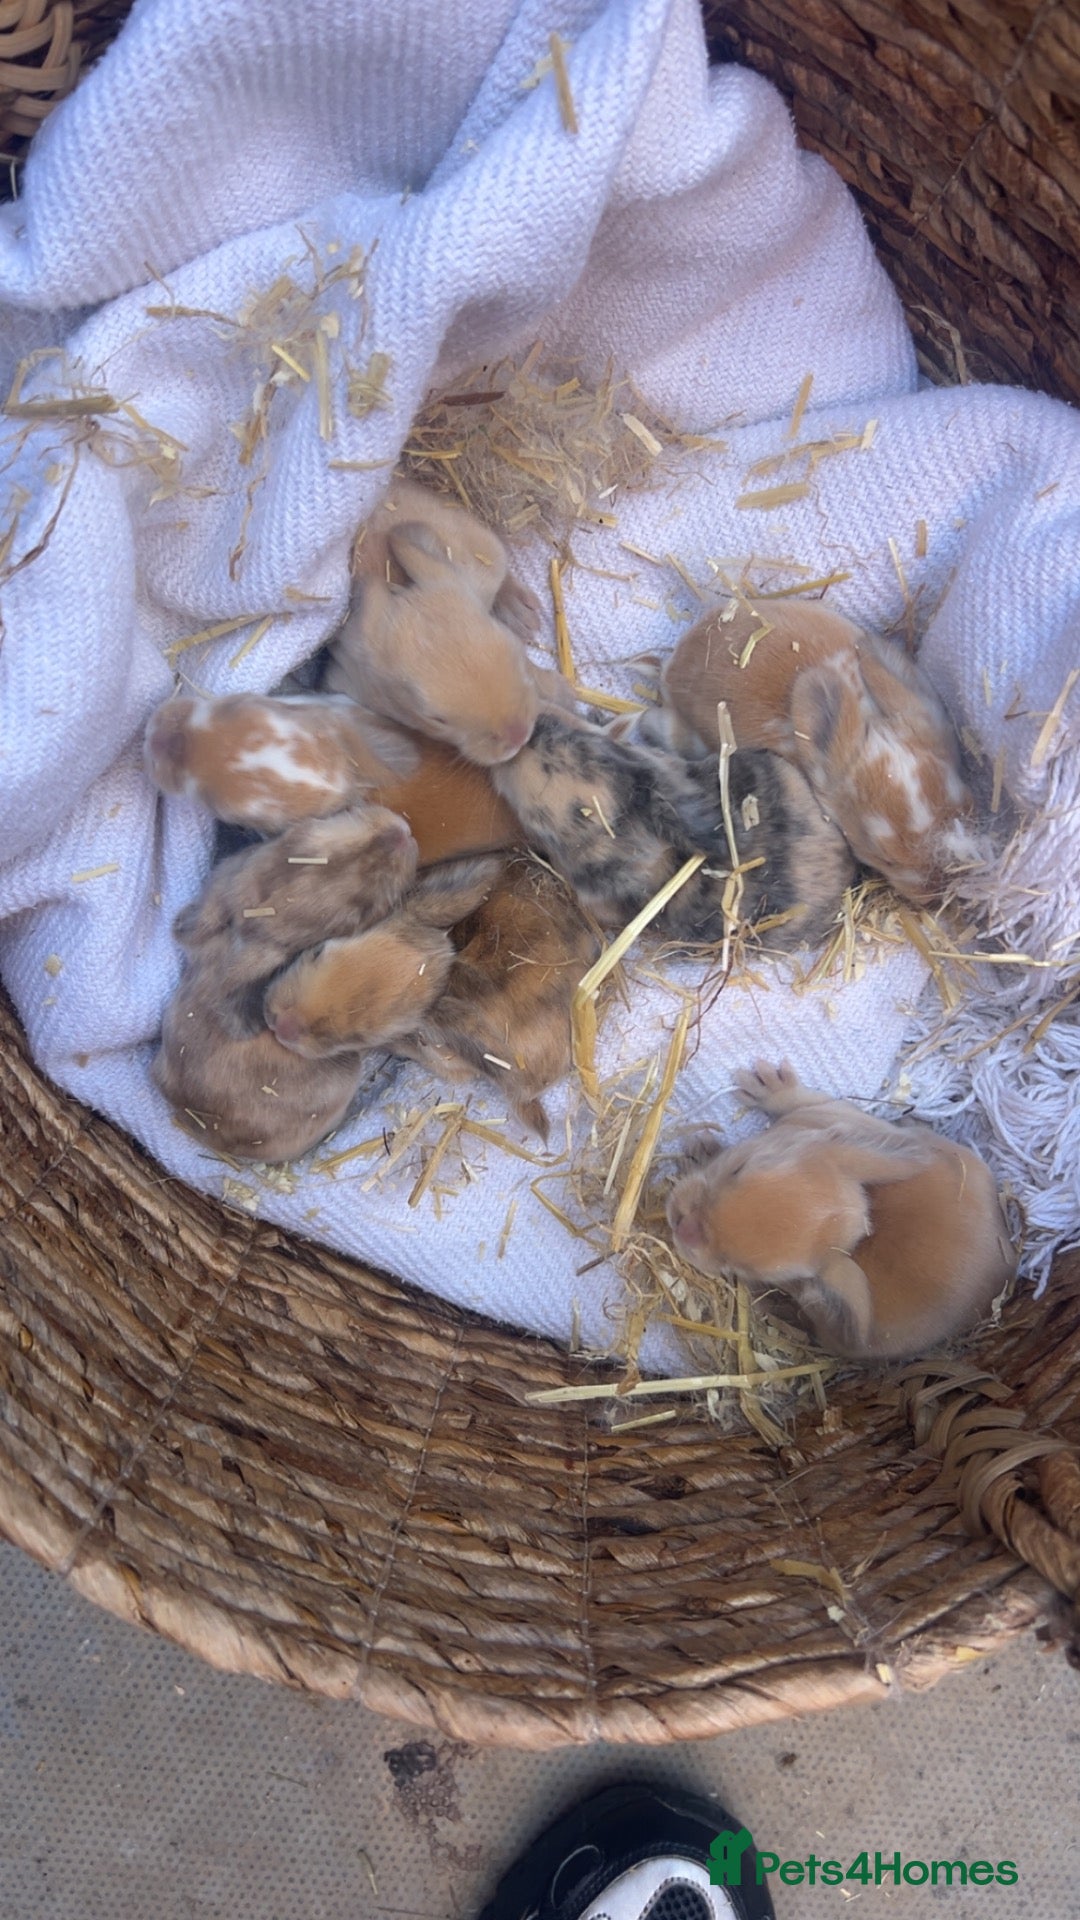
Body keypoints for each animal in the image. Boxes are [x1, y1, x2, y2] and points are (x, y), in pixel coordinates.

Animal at [666, 1059, 1016, 1361]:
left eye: (744, 1268)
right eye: (739, 1167)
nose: (682, 1228)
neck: (867, 1220)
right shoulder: (835, 1115)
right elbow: (798, 1102)